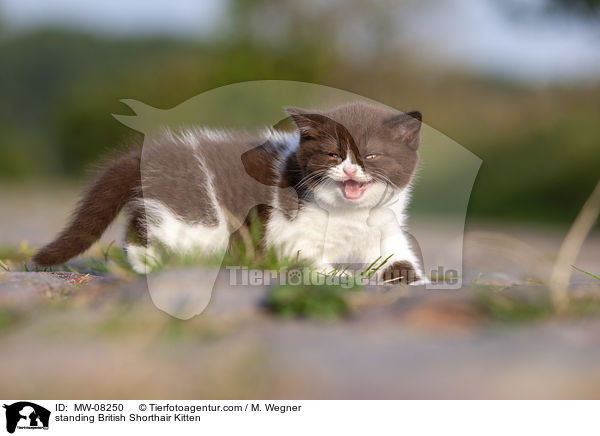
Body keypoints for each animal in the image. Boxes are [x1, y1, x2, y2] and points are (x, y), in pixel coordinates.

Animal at [32, 101, 424, 282]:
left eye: (370, 155)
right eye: (332, 155)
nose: (350, 168)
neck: (351, 215)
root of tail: (148, 155)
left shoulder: (386, 227)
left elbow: (398, 256)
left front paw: (409, 277)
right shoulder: (287, 231)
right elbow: (305, 259)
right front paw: (339, 275)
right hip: (198, 219)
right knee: (144, 231)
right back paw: (154, 264)